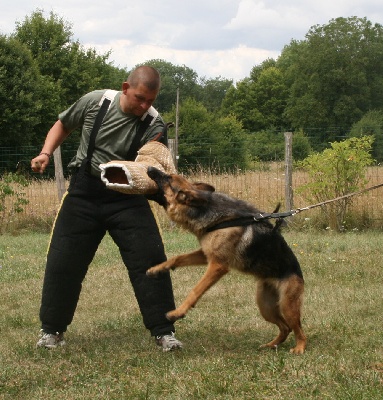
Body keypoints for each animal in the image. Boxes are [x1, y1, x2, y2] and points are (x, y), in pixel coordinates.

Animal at [146, 166, 308, 354]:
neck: (207, 212)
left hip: (287, 306)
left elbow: (196, 289)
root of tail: (298, 274)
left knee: (298, 329)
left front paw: (178, 312)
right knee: (285, 328)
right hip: (265, 306)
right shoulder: (206, 255)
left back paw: (299, 348)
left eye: (168, 178)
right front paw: (157, 268)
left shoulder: (217, 266)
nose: (149, 168)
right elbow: (177, 258)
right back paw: (271, 345)